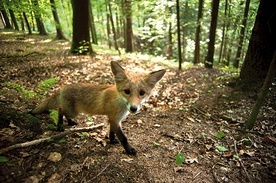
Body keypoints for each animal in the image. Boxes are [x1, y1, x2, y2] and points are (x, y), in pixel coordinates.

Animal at [32, 61, 166, 154]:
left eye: (142, 93)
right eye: (127, 91)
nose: (134, 109)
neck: (119, 102)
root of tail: (63, 87)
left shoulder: (114, 119)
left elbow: (111, 132)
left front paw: (112, 141)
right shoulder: (115, 119)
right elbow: (123, 138)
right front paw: (129, 150)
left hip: (73, 111)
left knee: (63, 112)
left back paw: (70, 122)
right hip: (72, 111)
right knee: (60, 110)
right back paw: (60, 126)